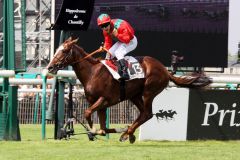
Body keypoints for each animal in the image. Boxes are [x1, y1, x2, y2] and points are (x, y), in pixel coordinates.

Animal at [46, 37, 210, 144]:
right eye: (57, 50)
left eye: (64, 51)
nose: (50, 67)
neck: (92, 72)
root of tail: (164, 69)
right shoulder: (99, 104)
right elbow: (102, 126)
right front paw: (100, 131)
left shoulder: (105, 99)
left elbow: (87, 113)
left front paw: (93, 131)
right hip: (134, 95)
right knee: (144, 113)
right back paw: (128, 133)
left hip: (149, 91)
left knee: (147, 113)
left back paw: (127, 133)